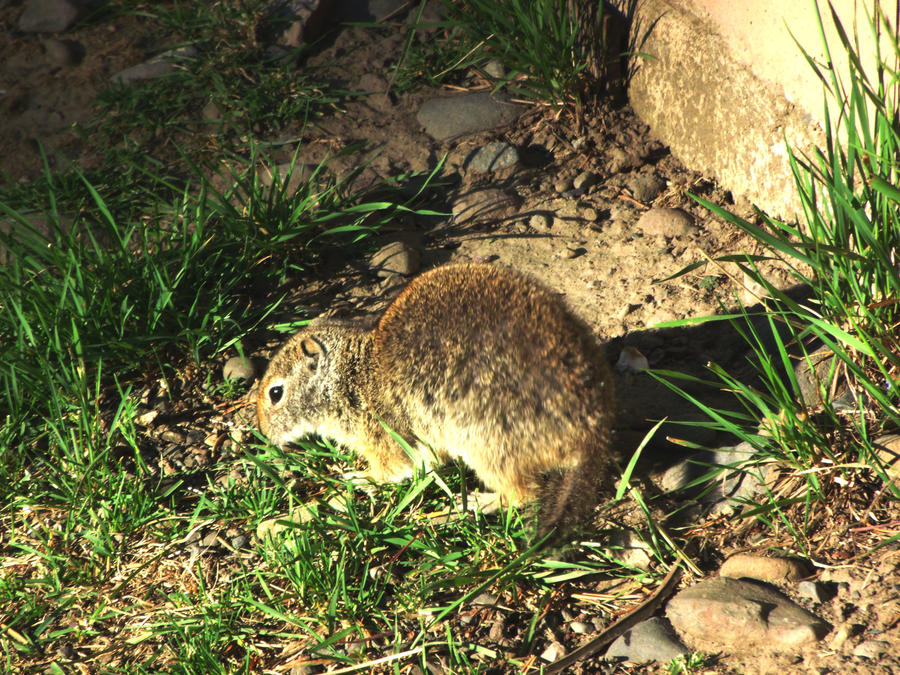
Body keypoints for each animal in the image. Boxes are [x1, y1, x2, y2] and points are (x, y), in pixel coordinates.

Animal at [256, 264, 616, 540]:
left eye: (275, 393)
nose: (264, 435)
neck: (354, 374)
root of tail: (592, 429)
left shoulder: (385, 439)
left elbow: (391, 470)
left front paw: (358, 477)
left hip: (486, 448)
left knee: (523, 496)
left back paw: (470, 505)